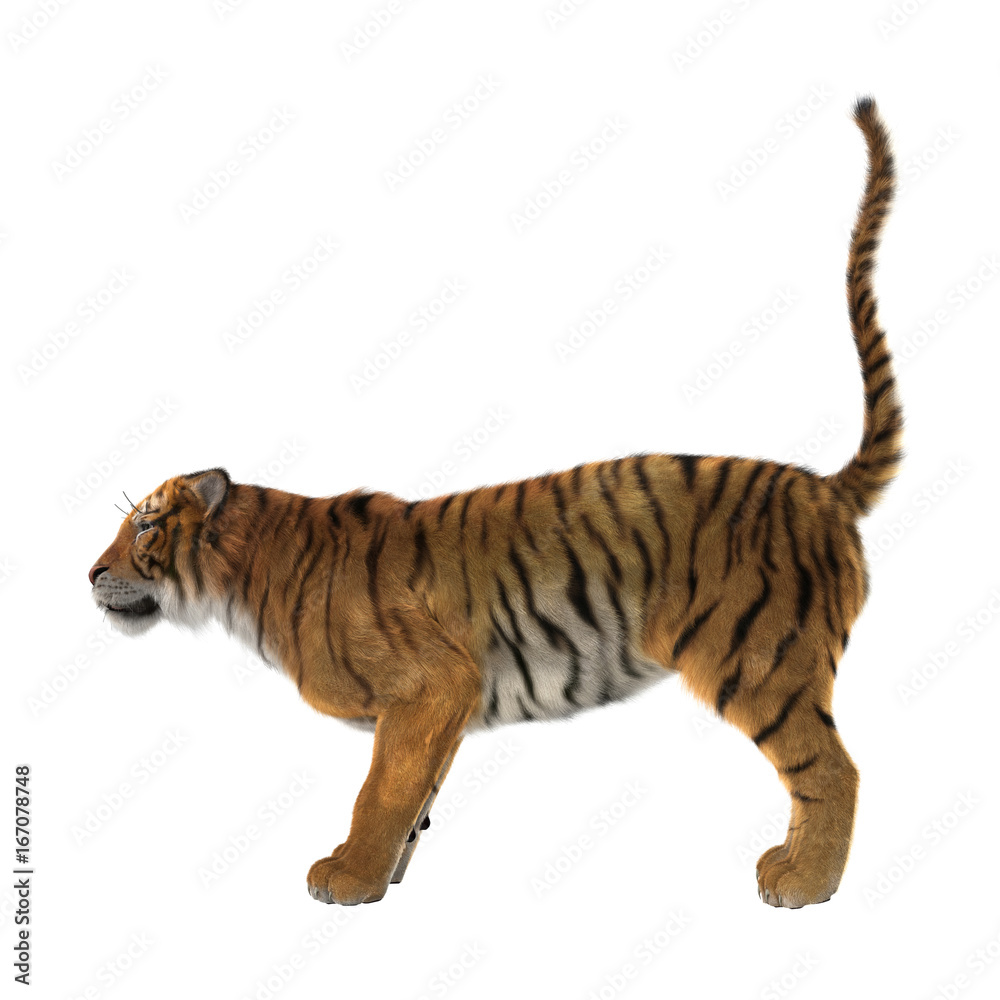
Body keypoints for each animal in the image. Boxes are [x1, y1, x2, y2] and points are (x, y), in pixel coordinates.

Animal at [89, 97, 901, 909]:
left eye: (146, 525)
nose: (90, 574)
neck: (245, 585)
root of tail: (823, 487)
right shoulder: (445, 701)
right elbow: (415, 797)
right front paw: (386, 874)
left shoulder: (428, 683)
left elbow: (380, 791)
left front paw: (348, 877)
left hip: (759, 659)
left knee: (833, 769)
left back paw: (804, 881)